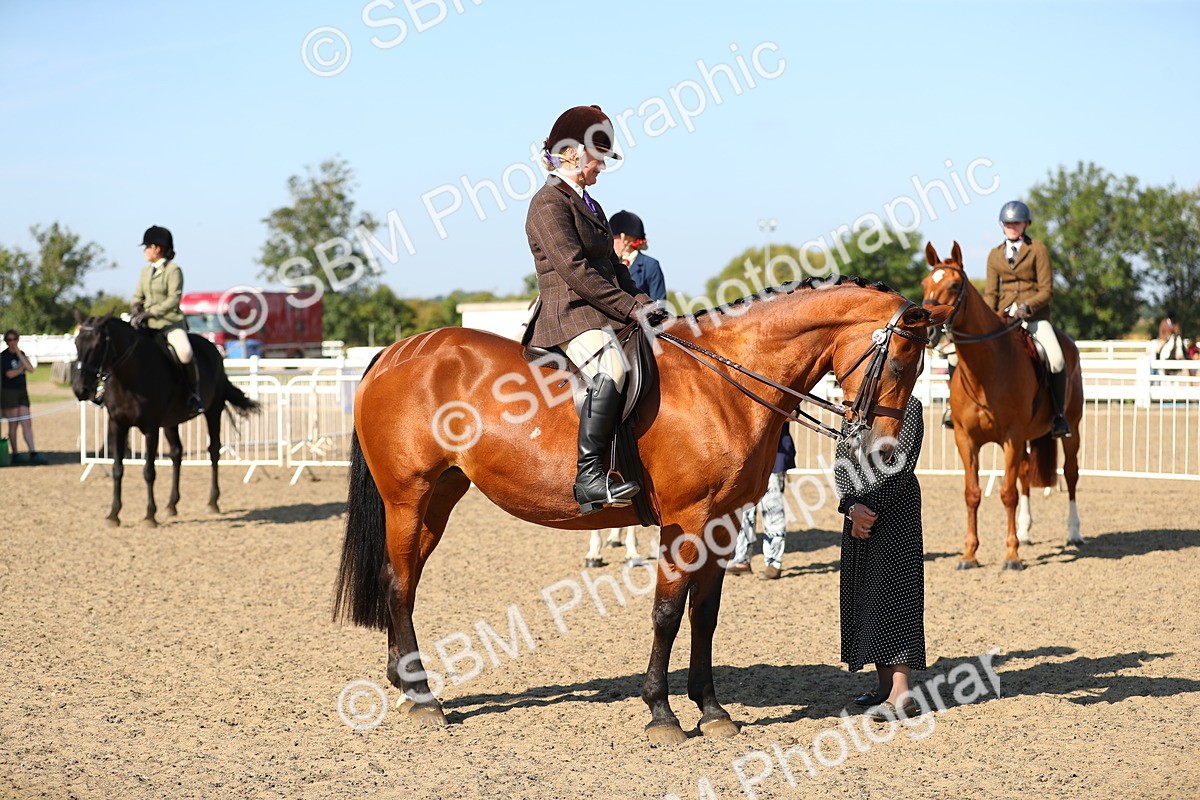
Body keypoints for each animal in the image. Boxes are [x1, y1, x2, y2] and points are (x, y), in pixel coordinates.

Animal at [71, 311, 260, 527]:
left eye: (98, 344)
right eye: (76, 342)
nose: (80, 390)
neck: (128, 378)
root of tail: (214, 349)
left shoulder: (150, 428)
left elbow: (149, 471)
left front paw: (149, 516)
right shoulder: (117, 424)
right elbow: (118, 468)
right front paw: (113, 515)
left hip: (213, 410)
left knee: (213, 451)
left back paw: (212, 502)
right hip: (171, 422)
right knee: (177, 453)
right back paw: (171, 505)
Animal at [334, 277, 952, 745]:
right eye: (901, 364)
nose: (886, 453)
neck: (723, 381)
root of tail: (395, 352)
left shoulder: (723, 524)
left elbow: (705, 615)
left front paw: (712, 710)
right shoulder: (686, 521)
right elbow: (667, 613)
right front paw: (663, 713)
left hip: (439, 497)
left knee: (404, 581)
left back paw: (405, 684)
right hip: (408, 497)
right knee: (399, 584)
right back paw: (423, 698)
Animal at [919, 242, 1084, 571]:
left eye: (954, 285)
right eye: (925, 283)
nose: (927, 331)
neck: (986, 369)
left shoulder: (1012, 437)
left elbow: (1007, 494)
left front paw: (1011, 556)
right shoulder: (966, 439)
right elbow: (972, 494)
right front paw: (969, 555)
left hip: (1071, 429)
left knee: (1070, 474)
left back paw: (1073, 532)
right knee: (1026, 475)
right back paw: (1025, 531)